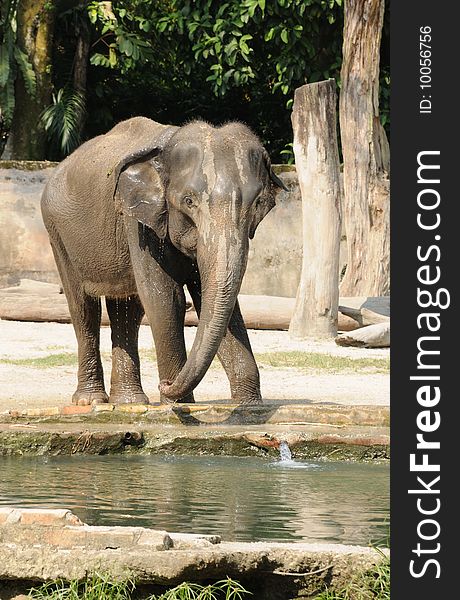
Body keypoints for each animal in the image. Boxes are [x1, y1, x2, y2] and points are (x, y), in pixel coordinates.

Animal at [42, 118, 288, 406]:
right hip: (57, 232)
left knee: (128, 309)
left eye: (258, 203)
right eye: (189, 201)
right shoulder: (138, 223)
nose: (165, 384)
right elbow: (165, 298)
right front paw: (178, 406)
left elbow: (209, 299)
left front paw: (249, 407)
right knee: (83, 308)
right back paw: (91, 401)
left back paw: (131, 402)